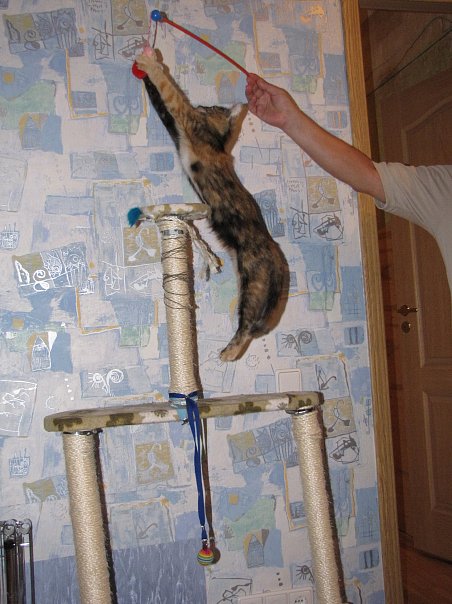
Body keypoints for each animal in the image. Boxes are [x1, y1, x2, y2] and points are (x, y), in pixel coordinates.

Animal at [135, 48, 288, 361]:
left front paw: (149, 63)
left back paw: (228, 353)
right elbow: (160, 104)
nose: (204, 104)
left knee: (248, 326)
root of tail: (278, 259)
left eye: (211, 106)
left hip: (253, 287)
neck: (219, 141)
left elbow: (168, 89)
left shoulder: (185, 117)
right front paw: (145, 58)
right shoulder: (177, 128)